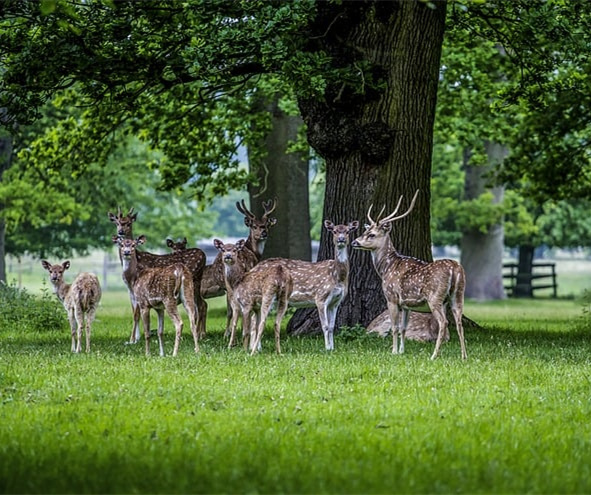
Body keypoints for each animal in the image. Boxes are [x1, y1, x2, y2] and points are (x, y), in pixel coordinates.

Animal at [108, 207, 208, 342]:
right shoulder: (130, 289)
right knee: (202, 305)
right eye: (117, 223)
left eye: (128, 223)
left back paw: (199, 334)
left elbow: (137, 313)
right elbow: (134, 312)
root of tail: (204, 255)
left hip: (194, 281)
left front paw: (133, 339)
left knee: (201, 305)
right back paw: (202, 334)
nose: (121, 232)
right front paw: (135, 338)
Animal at [247, 219, 358, 350]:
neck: (337, 277)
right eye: (334, 231)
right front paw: (327, 349)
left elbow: (331, 327)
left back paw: (255, 347)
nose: (341, 239)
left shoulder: (335, 302)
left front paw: (332, 348)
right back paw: (255, 348)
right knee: (254, 319)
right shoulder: (320, 297)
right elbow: (325, 326)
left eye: (347, 231)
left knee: (256, 317)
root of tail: (253, 269)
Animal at [352, 191, 468, 360]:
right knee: (459, 322)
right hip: (458, 294)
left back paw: (434, 355)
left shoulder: (391, 297)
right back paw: (464, 356)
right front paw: (402, 351)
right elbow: (403, 328)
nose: (354, 242)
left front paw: (393, 351)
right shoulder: (406, 303)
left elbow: (395, 327)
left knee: (444, 322)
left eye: (371, 235)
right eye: (364, 232)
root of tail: (455, 269)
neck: (386, 268)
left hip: (435, 296)